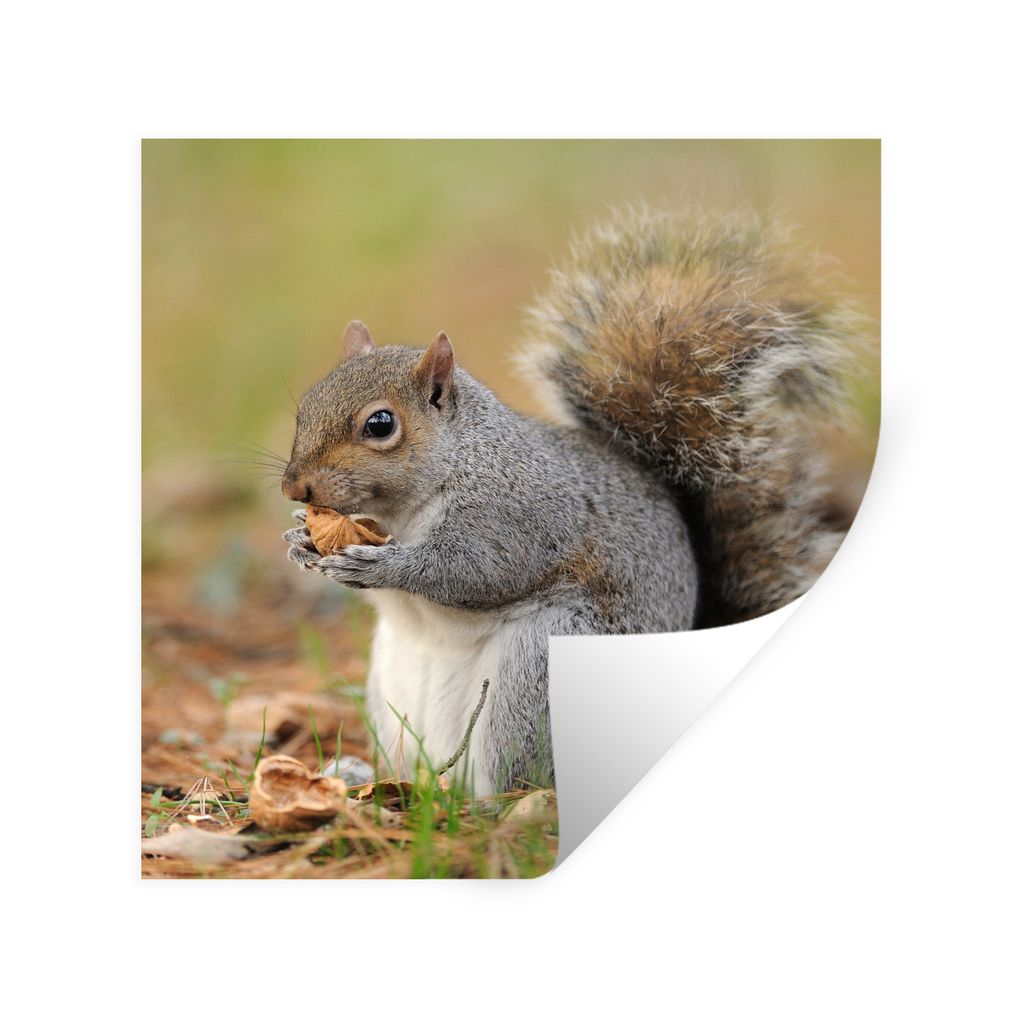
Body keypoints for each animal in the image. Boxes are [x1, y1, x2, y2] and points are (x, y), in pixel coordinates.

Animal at [281, 205, 863, 795]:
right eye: (306, 405)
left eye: (380, 424)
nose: (294, 488)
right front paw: (300, 539)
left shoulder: (517, 512)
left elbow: (477, 570)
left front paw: (381, 566)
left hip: (539, 666)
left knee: (518, 780)